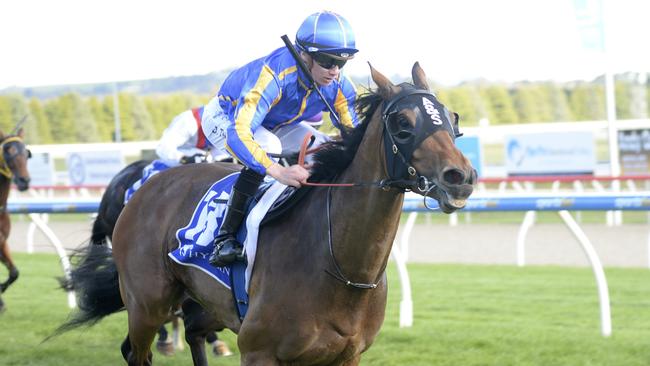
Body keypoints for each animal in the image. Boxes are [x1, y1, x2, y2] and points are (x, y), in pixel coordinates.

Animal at [58, 63, 474, 364]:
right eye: (402, 123)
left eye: (451, 118)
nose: (461, 177)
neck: (341, 266)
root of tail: (140, 188)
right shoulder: (259, 351)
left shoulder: (345, 356)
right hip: (147, 302)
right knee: (138, 350)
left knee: (192, 332)